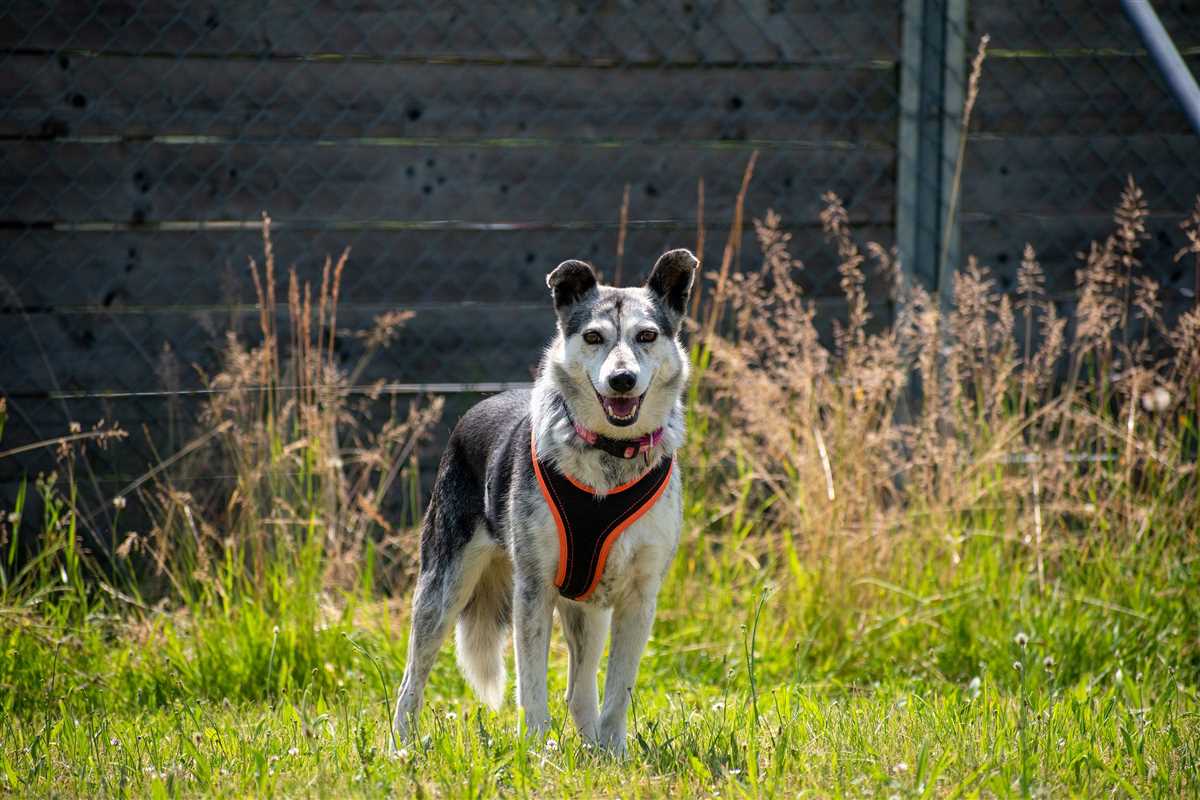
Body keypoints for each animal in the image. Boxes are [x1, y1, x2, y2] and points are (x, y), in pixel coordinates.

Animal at [388, 247, 700, 753]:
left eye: (647, 336)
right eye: (593, 337)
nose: (622, 380)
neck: (609, 452)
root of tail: (480, 405)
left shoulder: (639, 596)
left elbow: (617, 690)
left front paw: (614, 752)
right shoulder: (533, 590)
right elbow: (531, 686)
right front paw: (535, 750)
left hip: (588, 608)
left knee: (580, 689)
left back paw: (592, 748)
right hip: (443, 588)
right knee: (411, 679)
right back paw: (402, 745)